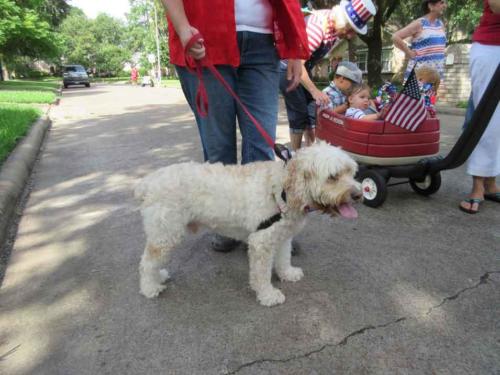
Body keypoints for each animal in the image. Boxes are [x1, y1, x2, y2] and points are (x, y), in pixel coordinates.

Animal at [137, 142, 362, 306]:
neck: (283, 190)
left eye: (350, 172)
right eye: (333, 177)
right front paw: (268, 295)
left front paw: (287, 274)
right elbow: (261, 274)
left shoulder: (281, 236)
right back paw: (150, 288)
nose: (359, 194)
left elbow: (283, 259)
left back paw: (158, 278)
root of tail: (149, 181)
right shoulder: (261, 243)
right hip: (165, 235)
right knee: (147, 262)